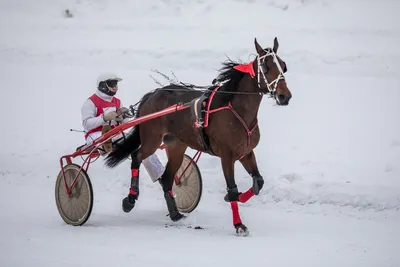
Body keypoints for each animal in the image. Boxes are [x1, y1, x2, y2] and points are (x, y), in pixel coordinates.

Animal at [105, 36, 294, 236]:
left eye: (283, 65)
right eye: (265, 67)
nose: (285, 96)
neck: (237, 109)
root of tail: (151, 95)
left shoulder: (246, 152)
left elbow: (258, 181)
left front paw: (235, 197)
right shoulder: (227, 156)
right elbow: (233, 188)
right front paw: (238, 224)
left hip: (176, 145)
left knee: (166, 178)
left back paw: (175, 214)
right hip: (152, 138)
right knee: (137, 156)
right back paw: (130, 199)